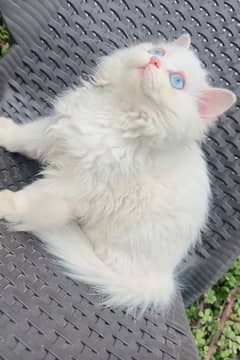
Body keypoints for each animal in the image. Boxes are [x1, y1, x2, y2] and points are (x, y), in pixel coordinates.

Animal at [0, 34, 236, 312]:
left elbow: (30, 197)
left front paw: (5, 202)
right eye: (159, 52)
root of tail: (163, 280)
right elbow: (23, 137)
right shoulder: (55, 132)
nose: (154, 60)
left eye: (177, 82)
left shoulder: (74, 183)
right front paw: (4, 132)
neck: (117, 110)